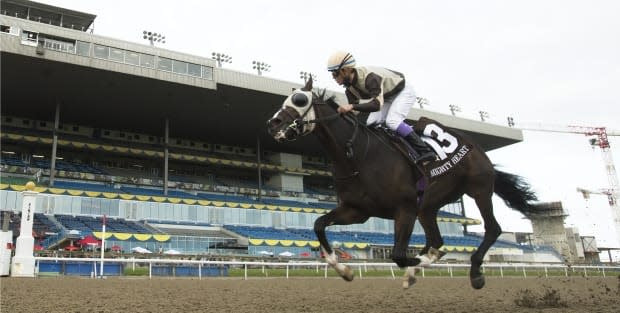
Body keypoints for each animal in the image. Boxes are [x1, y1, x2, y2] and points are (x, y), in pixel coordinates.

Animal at [266, 77, 536, 288]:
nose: (273, 123)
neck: (357, 156)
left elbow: (398, 254)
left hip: (479, 188)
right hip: (428, 208)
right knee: (437, 240)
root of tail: (477, 148)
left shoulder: (404, 209)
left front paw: (418, 265)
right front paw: (345, 270)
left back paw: (475, 273)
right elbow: (319, 224)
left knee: (492, 229)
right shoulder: (357, 210)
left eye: (300, 100)